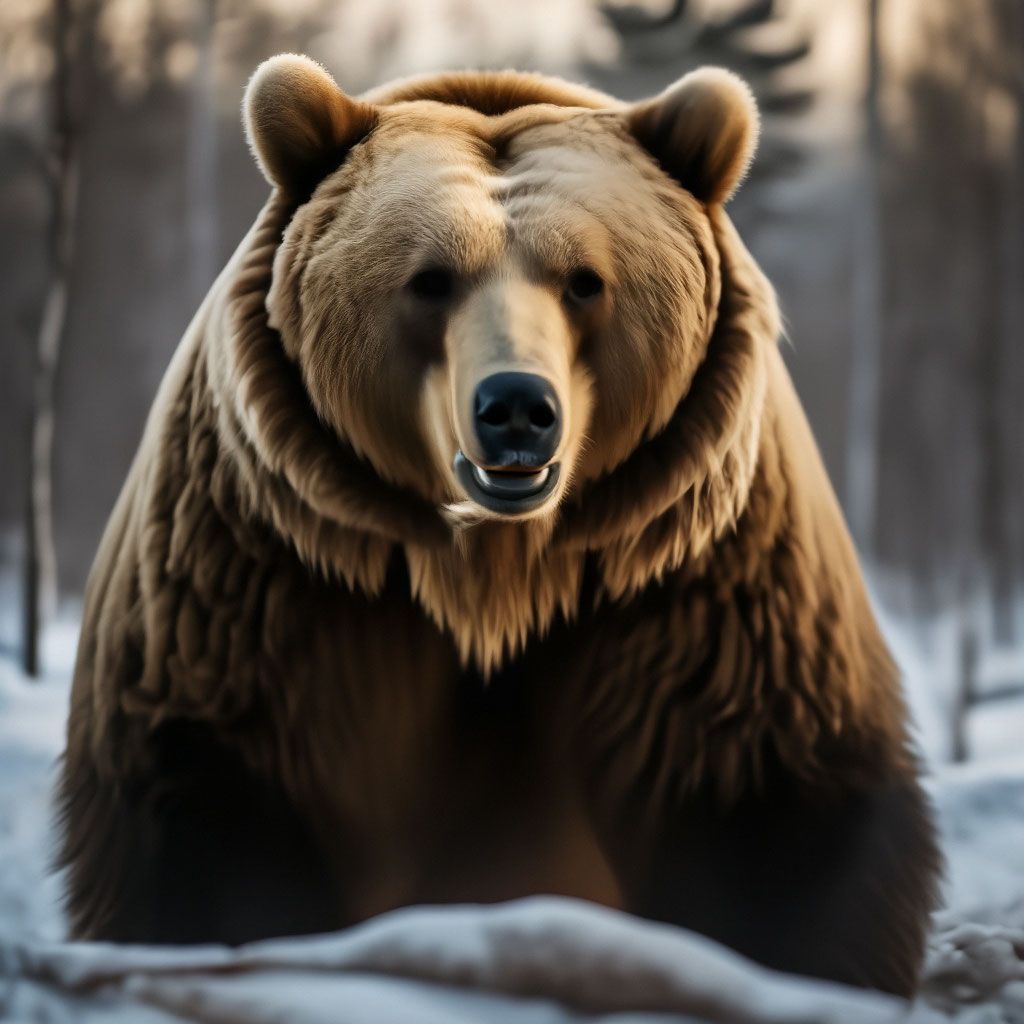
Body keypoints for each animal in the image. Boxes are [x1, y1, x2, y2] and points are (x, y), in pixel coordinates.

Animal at [57, 54, 940, 996]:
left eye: (585, 279)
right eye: (428, 278)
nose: (516, 406)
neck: (495, 570)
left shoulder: (697, 574)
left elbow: (773, 795)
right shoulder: (265, 568)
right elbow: (210, 784)